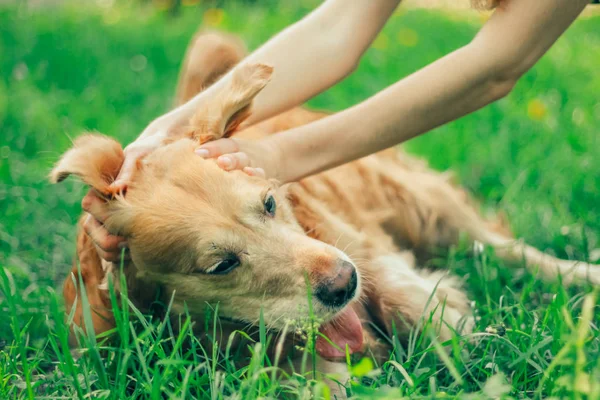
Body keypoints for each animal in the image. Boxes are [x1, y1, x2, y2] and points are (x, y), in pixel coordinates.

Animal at [50, 29, 600, 386]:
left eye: (270, 203)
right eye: (222, 264)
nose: (343, 282)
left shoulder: (371, 256)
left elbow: (427, 310)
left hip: (428, 204)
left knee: (510, 250)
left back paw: (580, 275)